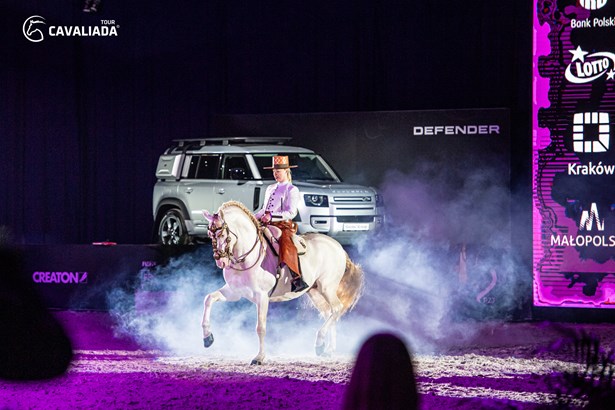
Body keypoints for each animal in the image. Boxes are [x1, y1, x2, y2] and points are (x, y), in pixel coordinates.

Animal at [201, 201, 364, 365]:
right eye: (210, 235)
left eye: (222, 234)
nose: (221, 261)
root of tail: (338, 247)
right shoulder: (234, 292)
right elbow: (209, 299)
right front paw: (207, 338)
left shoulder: (262, 297)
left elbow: (261, 327)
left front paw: (259, 357)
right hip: (315, 292)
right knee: (329, 313)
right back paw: (329, 350)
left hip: (327, 288)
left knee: (337, 309)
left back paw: (319, 344)